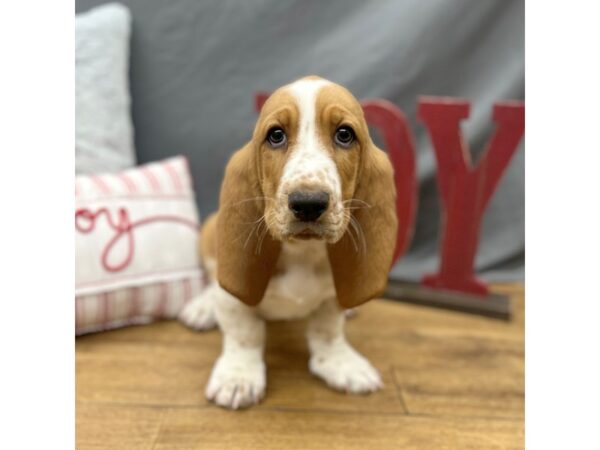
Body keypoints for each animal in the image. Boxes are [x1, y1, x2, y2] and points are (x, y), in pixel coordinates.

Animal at [178, 75, 398, 410]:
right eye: (276, 135)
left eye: (344, 135)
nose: (308, 203)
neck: (302, 253)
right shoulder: (234, 301)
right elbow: (245, 333)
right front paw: (238, 377)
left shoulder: (331, 299)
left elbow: (327, 330)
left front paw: (341, 363)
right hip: (210, 231)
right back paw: (202, 307)